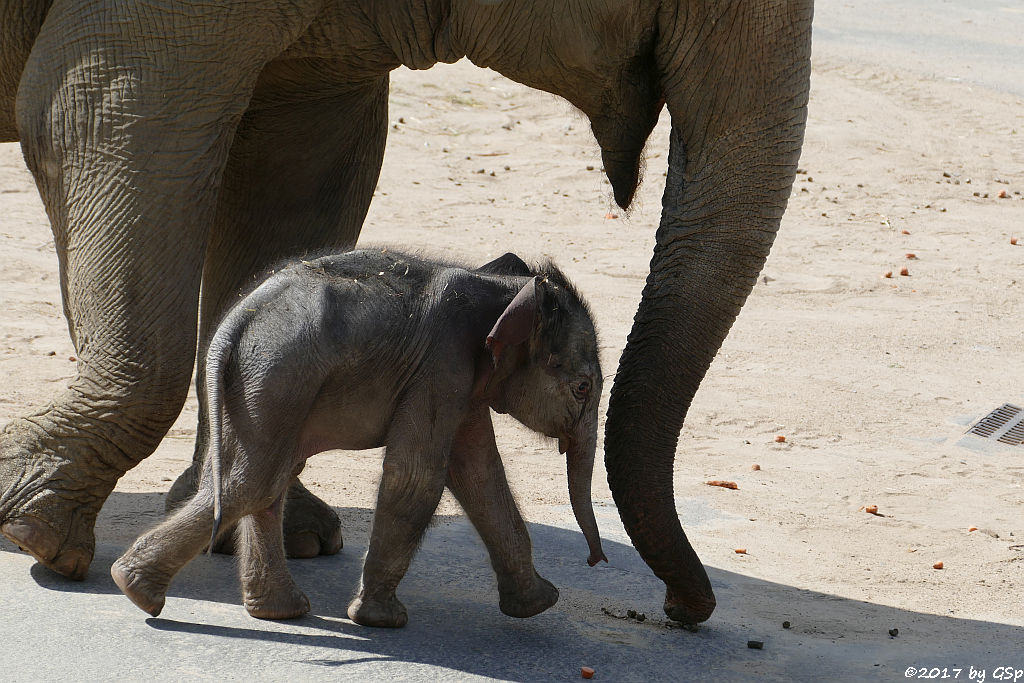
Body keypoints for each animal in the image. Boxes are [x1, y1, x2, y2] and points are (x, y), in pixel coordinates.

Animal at [112, 248, 606, 626]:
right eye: (583, 387)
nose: (595, 561)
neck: (504, 288)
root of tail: (231, 326)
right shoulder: (441, 367)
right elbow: (418, 476)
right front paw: (380, 621)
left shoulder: (462, 385)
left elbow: (480, 474)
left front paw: (539, 604)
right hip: (275, 378)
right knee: (255, 482)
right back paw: (138, 590)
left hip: (255, 387)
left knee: (260, 480)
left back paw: (264, 610)